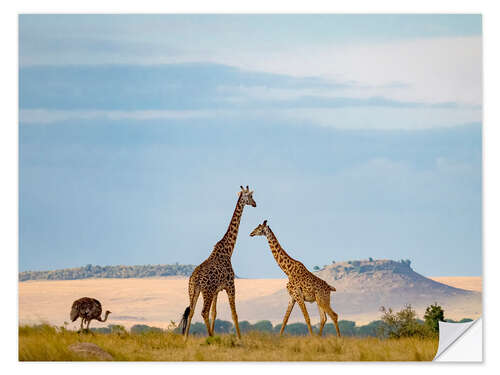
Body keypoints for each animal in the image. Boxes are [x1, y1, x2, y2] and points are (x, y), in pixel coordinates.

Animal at [180, 187, 256, 340]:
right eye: (250, 196)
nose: (255, 204)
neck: (228, 251)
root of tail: (195, 278)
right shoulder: (230, 285)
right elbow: (234, 314)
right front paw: (240, 339)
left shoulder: (217, 290)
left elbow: (214, 314)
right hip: (207, 291)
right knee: (203, 312)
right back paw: (209, 337)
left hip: (193, 291)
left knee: (191, 312)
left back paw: (185, 339)